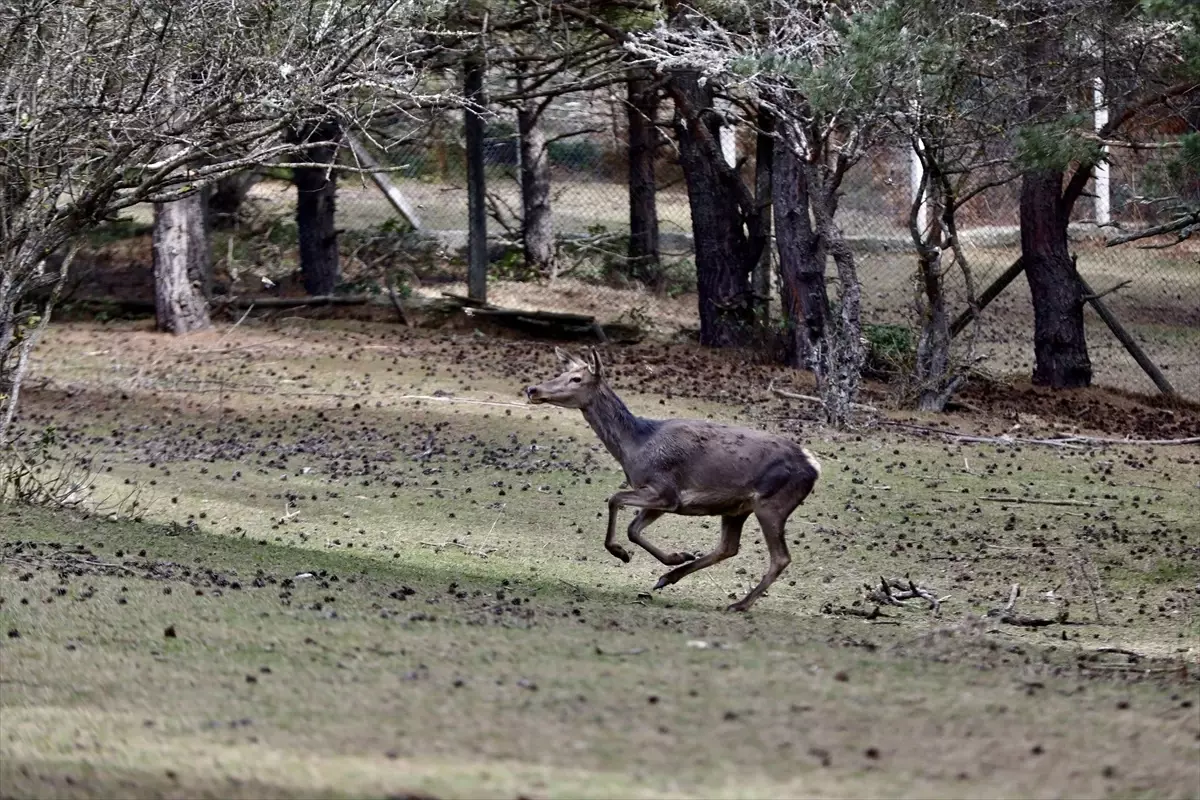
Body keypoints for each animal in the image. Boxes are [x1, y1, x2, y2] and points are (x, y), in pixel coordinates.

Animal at [528, 345, 825, 614]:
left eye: (576, 379)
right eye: (561, 372)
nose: (533, 389)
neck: (636, 447)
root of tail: (814, 466)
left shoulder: (665, 490)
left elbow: (615, 500)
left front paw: (621, 553)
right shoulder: (664, 498)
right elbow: (633, 529)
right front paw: (674, 557)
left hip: (772, 504)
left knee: (780, 557)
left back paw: (739, 604)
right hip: (737, 508)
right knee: (728, 547)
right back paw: (670, 576)